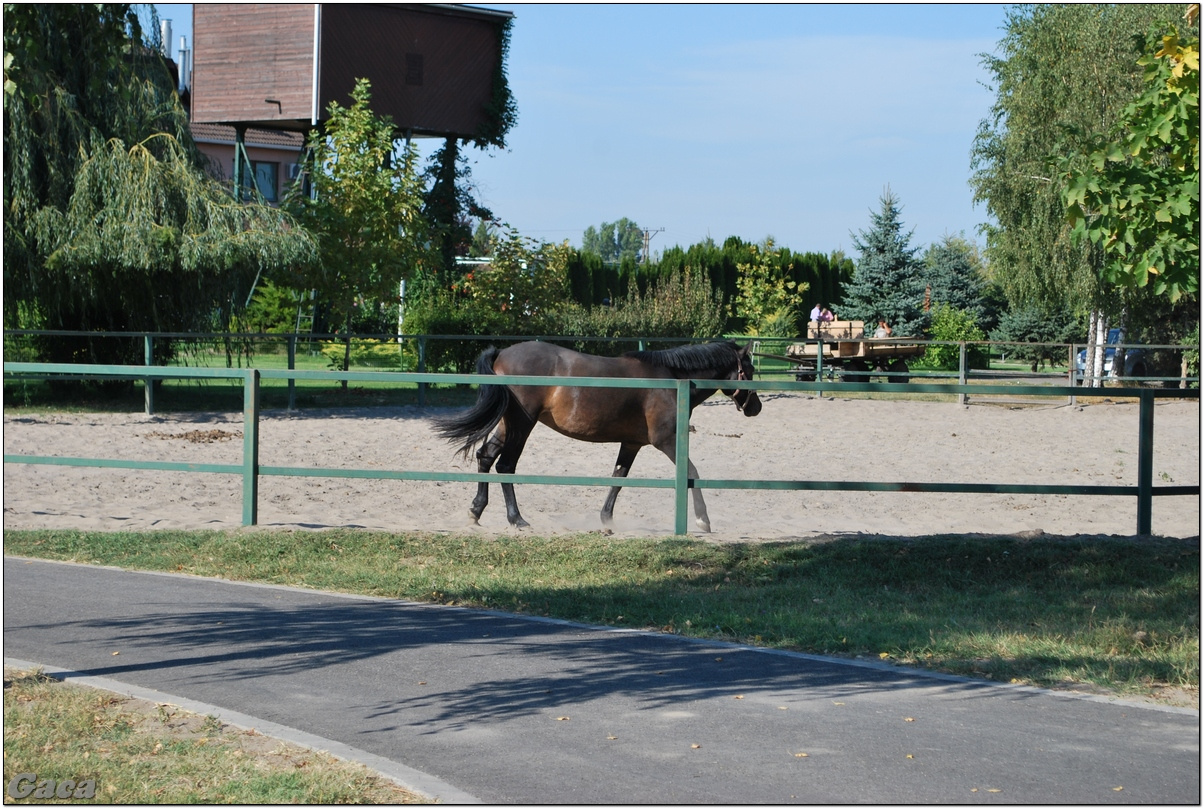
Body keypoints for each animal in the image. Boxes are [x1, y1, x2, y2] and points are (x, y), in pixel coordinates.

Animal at [435, 339, 760, 529]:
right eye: (751, 370)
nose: (755, 407)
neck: (674, 381)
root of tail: (502, 351)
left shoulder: (632, 443)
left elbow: (618, 478)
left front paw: (607, 520)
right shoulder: (667, 441)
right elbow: (691, 472)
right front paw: (703, 519)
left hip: (508, 425)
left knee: (486, 457)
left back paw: (476, 511)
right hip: (522, 425)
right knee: (505, 465)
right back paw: (516, 519)